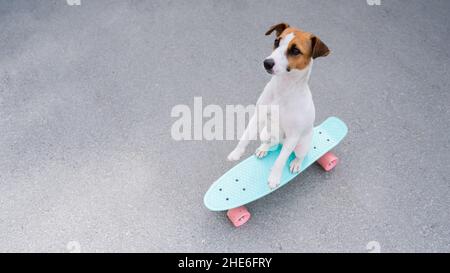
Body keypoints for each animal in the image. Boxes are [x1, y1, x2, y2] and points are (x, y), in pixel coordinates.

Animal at [227, 22, 328, 189]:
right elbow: (245, 136)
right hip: (265, 133)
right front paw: (236, 153)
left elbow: (280, 160)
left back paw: (296, 163)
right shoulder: (258, 116)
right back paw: (263, 148)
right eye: (276, 42)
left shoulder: (293, 136)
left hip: (301, 146)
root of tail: (281, 142)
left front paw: (274, 177)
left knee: (298, 155)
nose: (266, 63)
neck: (283, 89)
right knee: (271, 143)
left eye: (295, 50)